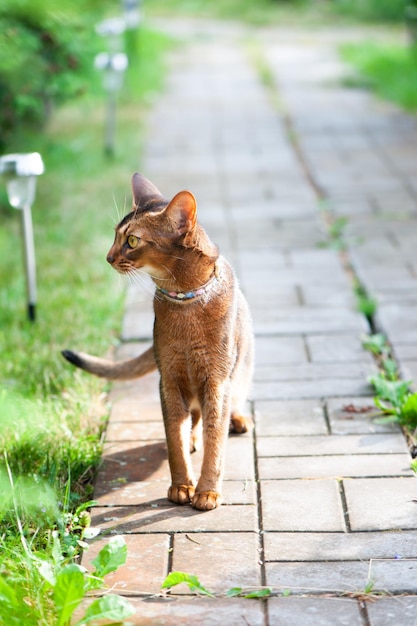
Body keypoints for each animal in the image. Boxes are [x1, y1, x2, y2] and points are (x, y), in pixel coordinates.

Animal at [61, 172, 254, 508]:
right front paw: (181, 486)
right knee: (193, 419)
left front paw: (207, 491)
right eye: (115, 237)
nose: (108, 257)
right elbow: (174, 440)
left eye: (132, 241)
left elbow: (215, 441)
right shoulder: (170, 380)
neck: (183, 300)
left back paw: (238, 419)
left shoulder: (216, 382)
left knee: (225, 406)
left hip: (239, 372)